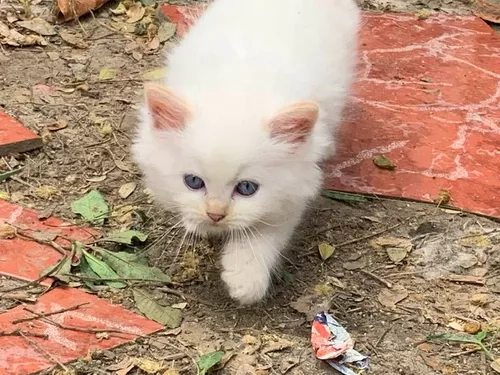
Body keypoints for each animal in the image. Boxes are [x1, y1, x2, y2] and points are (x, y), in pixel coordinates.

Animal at [133, 0, 360, 306]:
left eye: (247, 188)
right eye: (193, 182)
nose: (216, 215)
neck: (237, 89)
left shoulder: (293, 191)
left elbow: (265, 234)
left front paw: (245, 278)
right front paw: (197, 223)